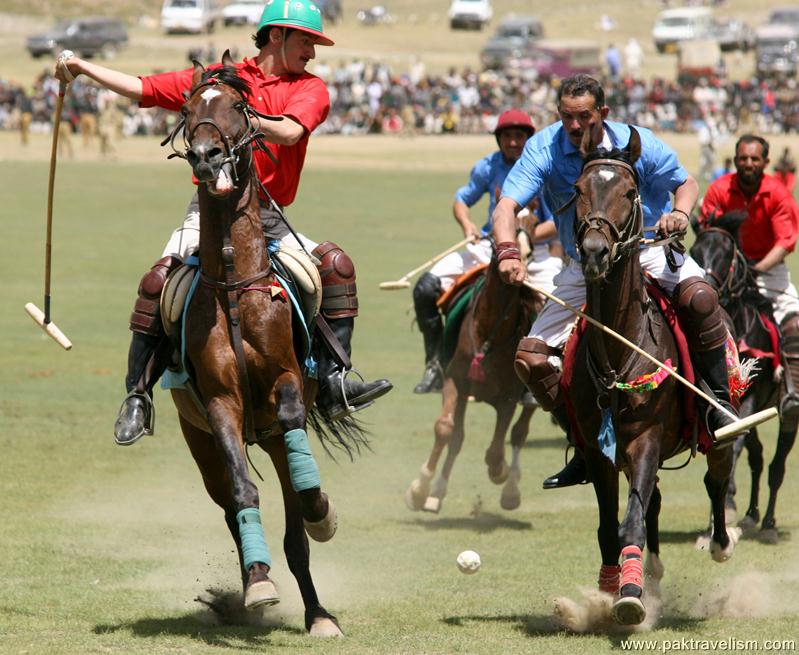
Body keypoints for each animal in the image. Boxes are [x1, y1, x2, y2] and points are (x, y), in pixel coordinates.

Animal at [166, 55, 344, 636]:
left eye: (239, 107)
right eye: (187, 108)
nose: (206, 155)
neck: (234, 283)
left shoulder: (286, 382)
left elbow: (291, 421)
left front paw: (321, 510)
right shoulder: (221, 403)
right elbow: (246, 492)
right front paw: (259, 583)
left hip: (271, 437)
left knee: (294, 516)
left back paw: (318, 610)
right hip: (201, 446)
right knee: (232, 503)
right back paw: (253, 582)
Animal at [406, 228, 544, 516]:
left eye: (530, 253)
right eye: (499, 248)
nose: (522, 280)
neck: (489, 334)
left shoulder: (508, 397)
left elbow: (496, 450)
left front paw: (500, 472)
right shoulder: (455, 382)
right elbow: (447, 430)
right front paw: (421, 489)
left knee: (519, 432)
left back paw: (511, 489)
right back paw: (437, 492)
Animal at [568, 127, 736, 624]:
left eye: (629, 192)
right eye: (577, 190)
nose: (596, 252)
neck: (621, 345)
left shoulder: (646, 438)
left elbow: (630, 522)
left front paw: (628, 597)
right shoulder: (599, 449)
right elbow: (611, 525)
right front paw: (612, 589)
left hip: (715, 425)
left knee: (716, 476)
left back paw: (720, 543)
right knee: (656, 499)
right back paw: (653, 574)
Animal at [692, 214, 796, 544]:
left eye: (727, 254)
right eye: (695, 251)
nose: (707, 292)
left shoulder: (749, 397)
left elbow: (733, 446)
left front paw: (726, 506)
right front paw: (718, 519)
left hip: (788, 413)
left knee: (777, 466)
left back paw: (769, 523)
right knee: (759, 458)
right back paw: (751, 515)